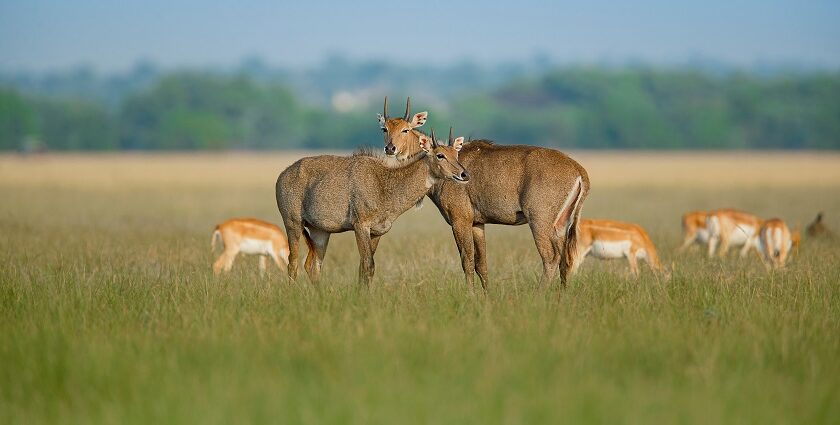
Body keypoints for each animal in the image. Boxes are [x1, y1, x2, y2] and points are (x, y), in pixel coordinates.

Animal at [278, 126, 470, 284]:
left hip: (320, 231)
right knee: (292, 263)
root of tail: (283, 174)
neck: (383, 183)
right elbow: (368, 266)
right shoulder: (361, 226)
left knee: (313, 266)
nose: (464, 174)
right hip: (293, 223)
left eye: (456, 155)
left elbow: (364, 268)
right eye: (440, 155)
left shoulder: (377, 232)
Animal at [378, 96, 588, 288]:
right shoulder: (478, 223)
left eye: (405, 129)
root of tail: (578, 170)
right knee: (565, 260)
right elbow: (482, 265)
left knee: (551, 257)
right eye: (385, 129)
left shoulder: (460, 220)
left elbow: (467, 261)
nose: (390, 148)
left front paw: (470, 295)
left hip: (539, 220)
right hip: (561, 224)